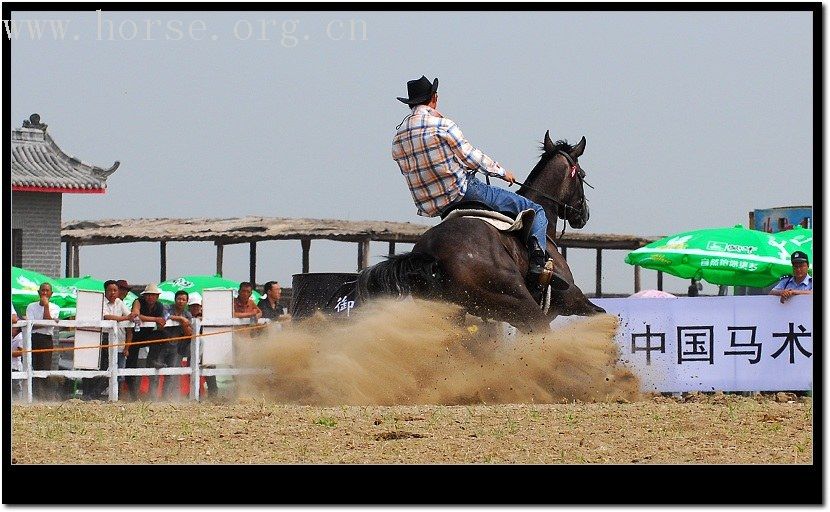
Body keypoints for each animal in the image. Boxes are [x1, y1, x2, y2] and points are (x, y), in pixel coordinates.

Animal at [338, 131, 604, 332]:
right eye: (582, 175)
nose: (583, 214)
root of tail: (431, 253)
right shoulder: (572, 300)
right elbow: (604, 316)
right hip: (520, 305)